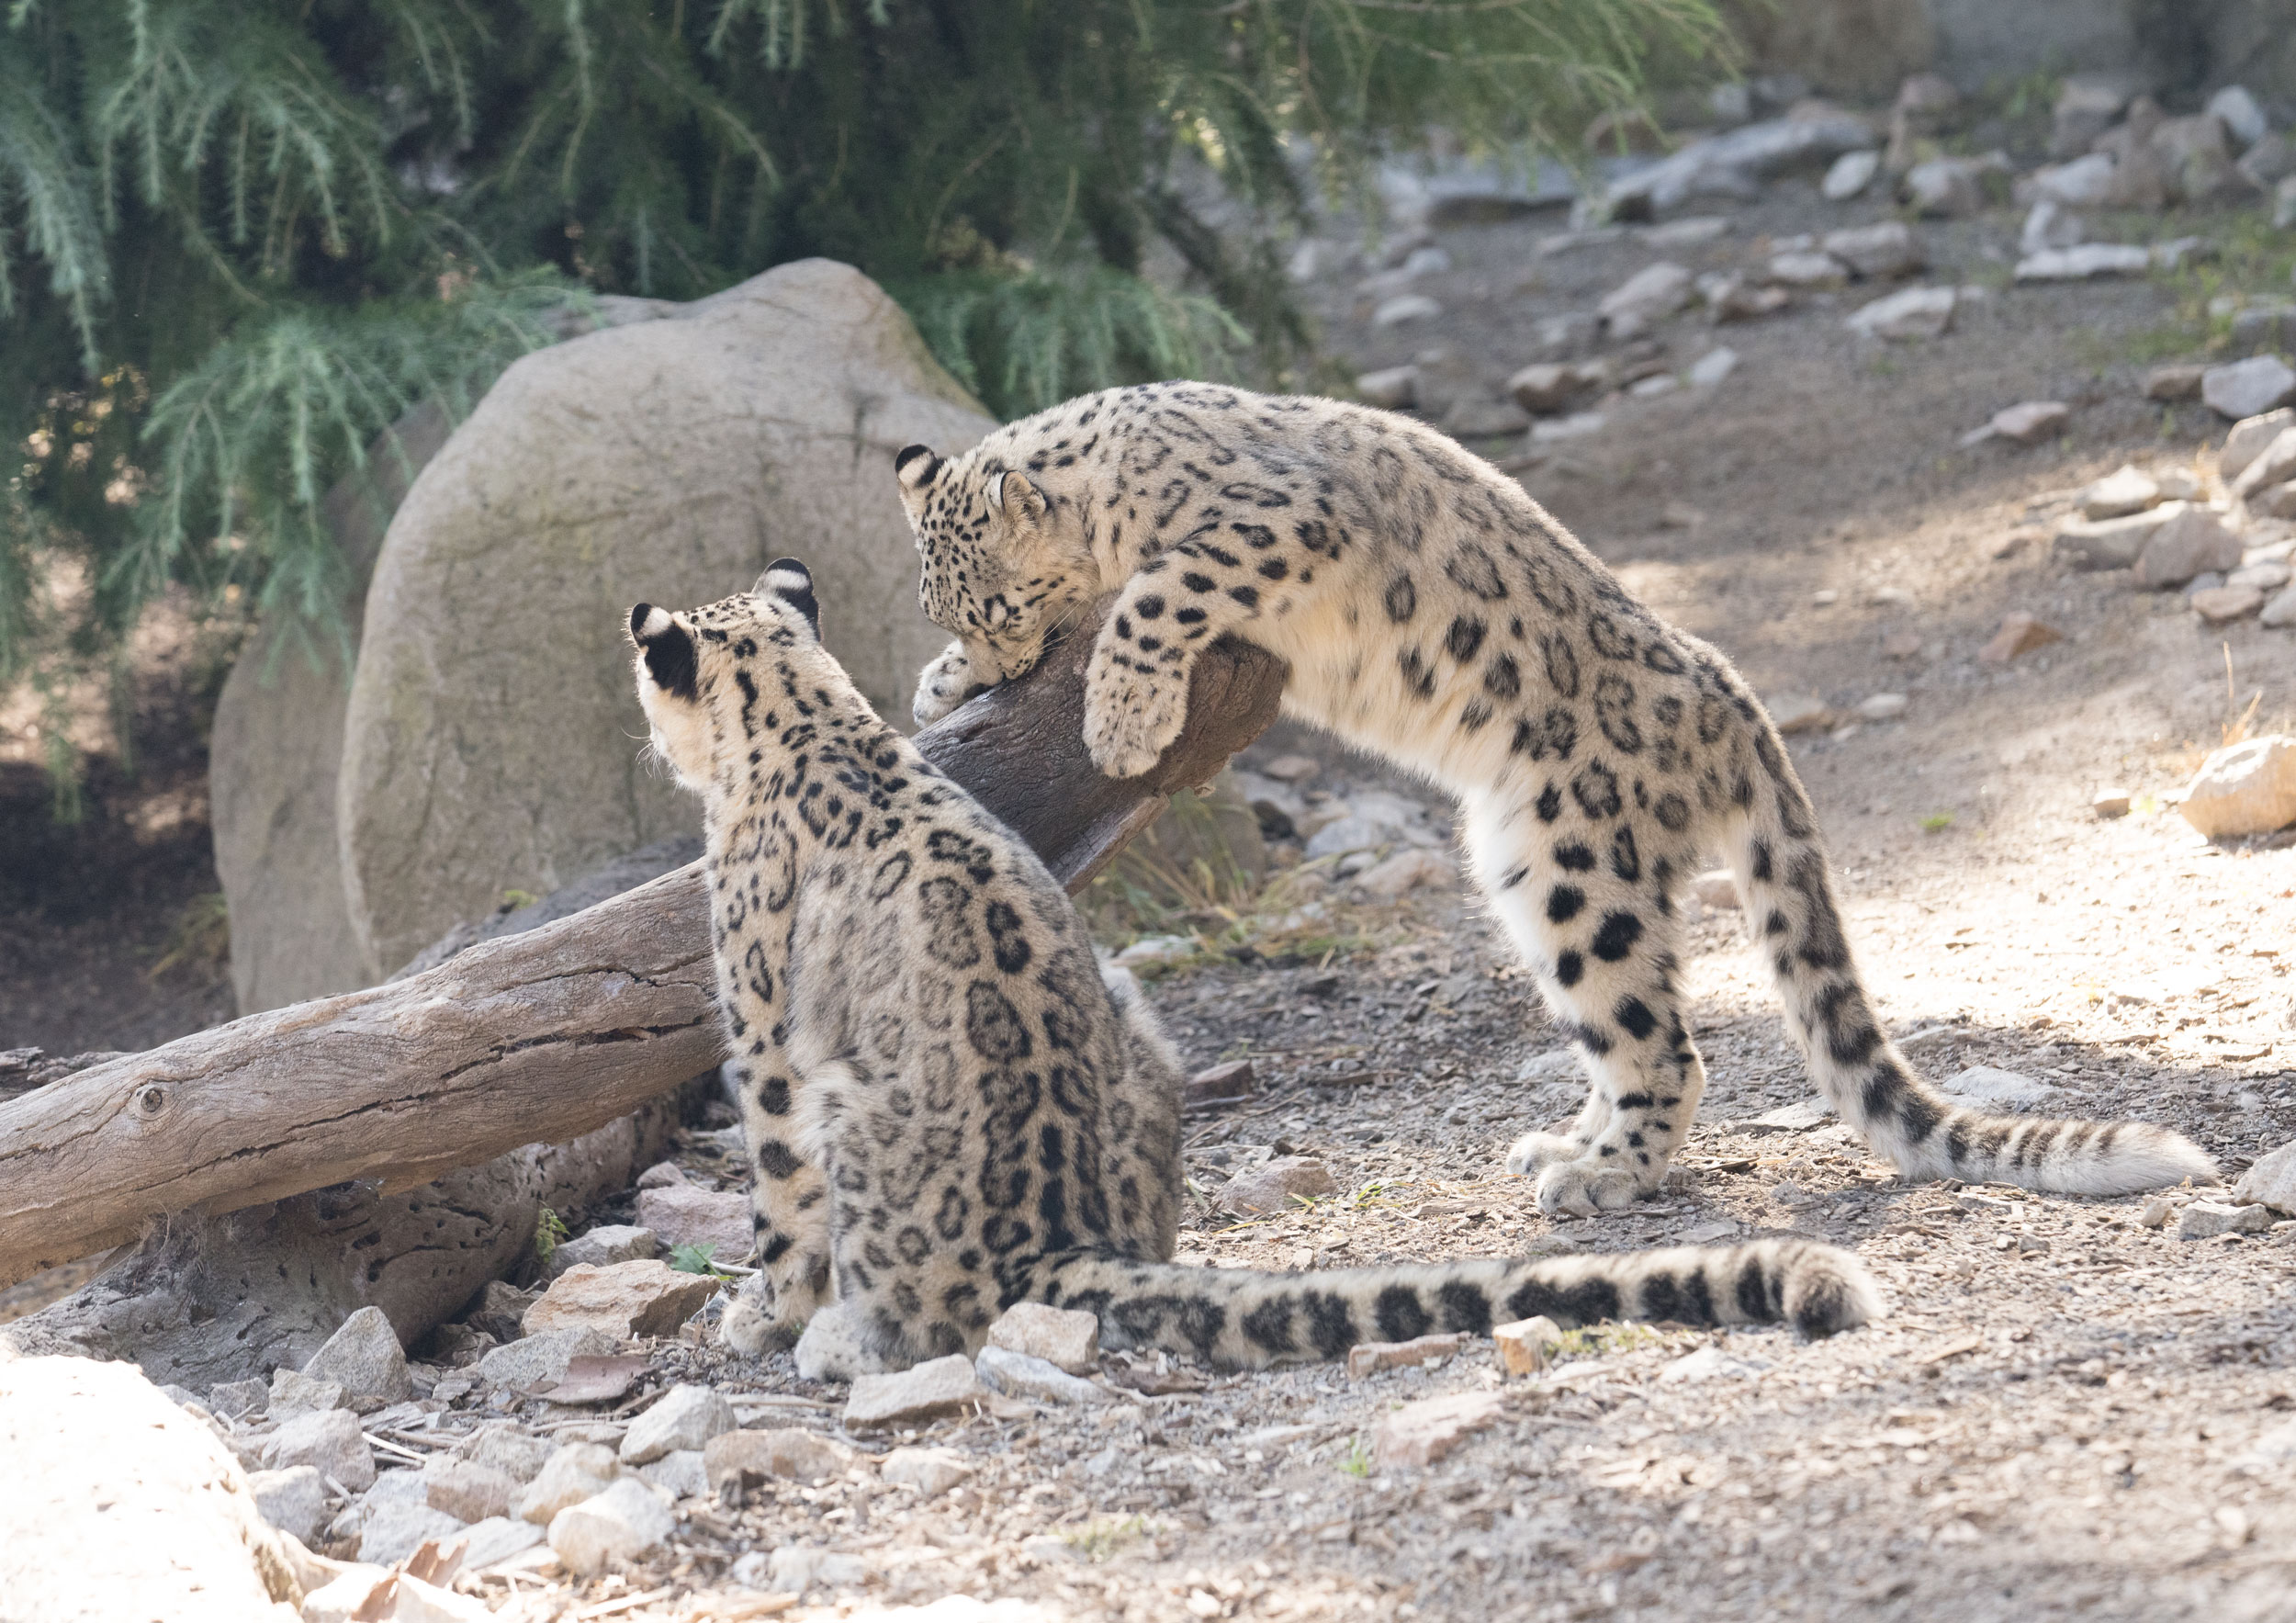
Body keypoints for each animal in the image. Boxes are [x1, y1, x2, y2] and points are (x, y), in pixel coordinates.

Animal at [634, 562, 1883, 1368]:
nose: (647, 737)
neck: (806, 722)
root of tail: (1064, 1239)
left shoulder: (761, 1025)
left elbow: (775, 1191)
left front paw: (761, 1315)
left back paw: (843, 1340)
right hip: (1137, 1017)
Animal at [886, 383, 2213, 1221]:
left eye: (996, 598)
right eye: (952, 605)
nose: (992, 660)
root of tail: (1731, 696)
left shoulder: (1270, 518)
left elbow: (1156, 590)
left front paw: (1118, 714)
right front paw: (938, 684)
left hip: (1580, 858)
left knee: (1669, 1043)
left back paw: (1602, 1175)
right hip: (1526, 870)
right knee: (1625, 1032)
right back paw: (1569, 1142)